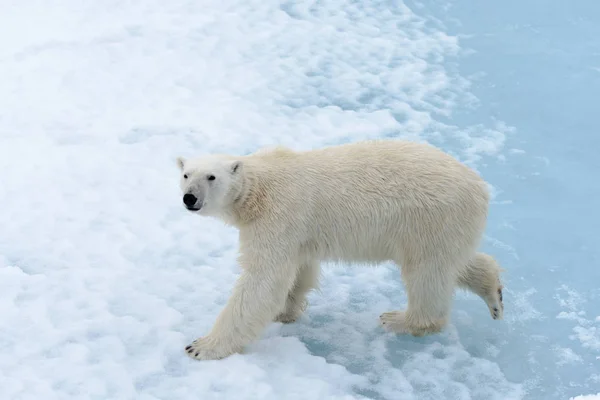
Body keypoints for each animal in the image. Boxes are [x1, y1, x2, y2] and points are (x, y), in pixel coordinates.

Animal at [176, 139, 504, 360]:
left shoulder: (278, 215)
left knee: (426, 272)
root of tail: (481, 187)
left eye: (211, 177)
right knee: (453, 263)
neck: (258, 189)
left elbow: (262, 278)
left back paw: (400, 319)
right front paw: (285, 311)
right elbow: (298, 269)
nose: (189, 198)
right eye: (186, 174)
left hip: (431, 217)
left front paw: (201, 346)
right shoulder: (297, 230)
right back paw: (494, 294)